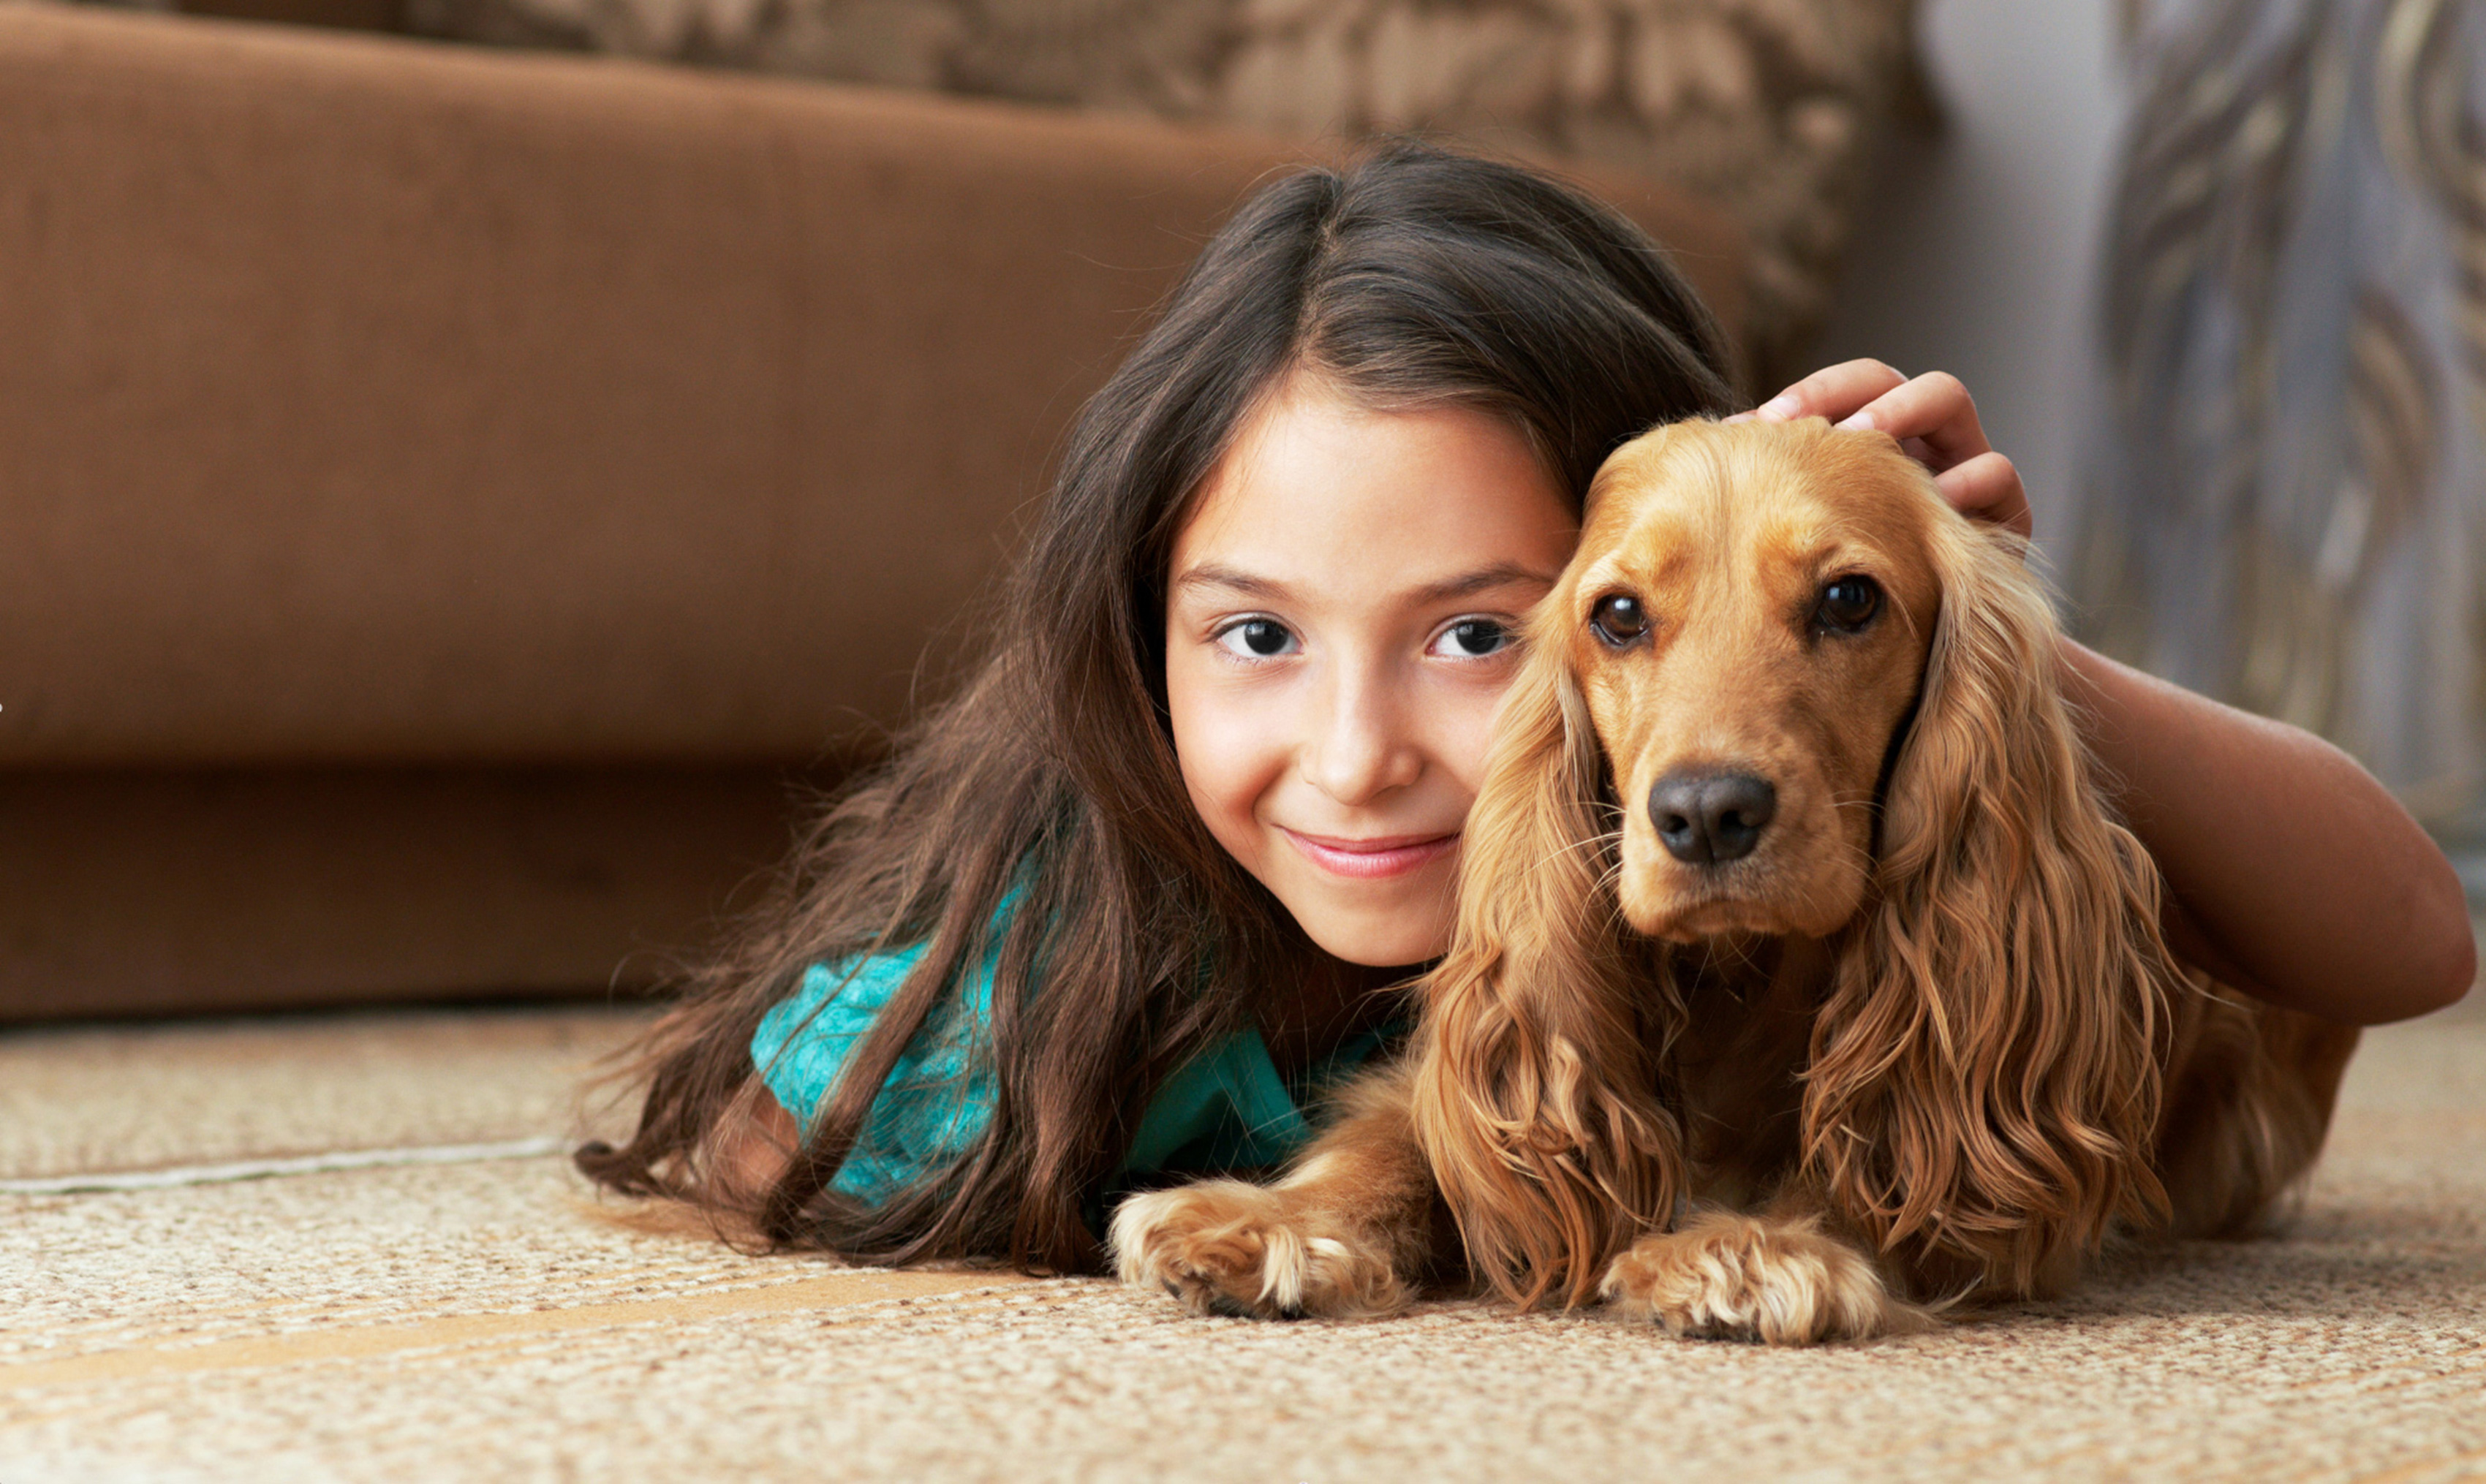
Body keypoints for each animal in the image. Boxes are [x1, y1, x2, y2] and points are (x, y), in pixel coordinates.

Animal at [1119, 417, 2357, 1342]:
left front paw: (1751, 1248)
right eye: (1618, 614)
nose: (1707, 812)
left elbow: (1876, 1153)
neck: (1733, 981)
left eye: (1850, 599)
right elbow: (1397, 1137)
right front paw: (1270, 1223)